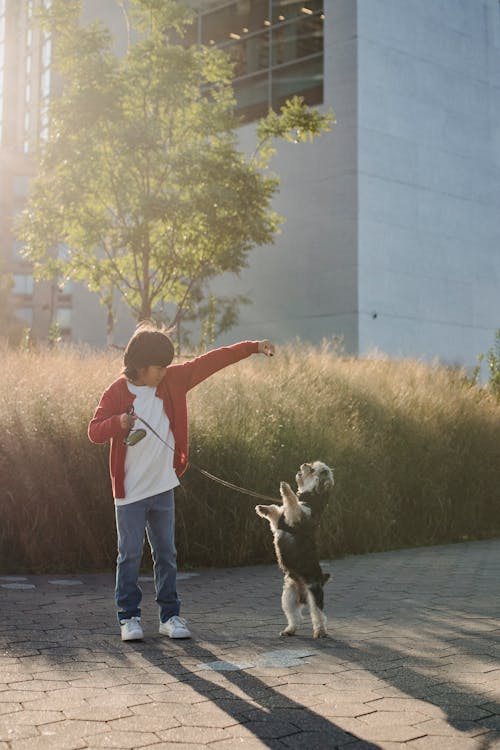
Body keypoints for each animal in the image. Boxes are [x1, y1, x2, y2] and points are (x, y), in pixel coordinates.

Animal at [256, 464, 334, 640]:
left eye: (314, 470)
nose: (304, 465)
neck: (311, 499)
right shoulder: (278, 522)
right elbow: (276, 511)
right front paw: (263, 508)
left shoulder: (297, 516)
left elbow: (291, 501)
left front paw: (285, 488)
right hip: (288, 597)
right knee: (295, 616)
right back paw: (289, 630)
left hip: (314, 594)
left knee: (319, 615)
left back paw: (320, 631)